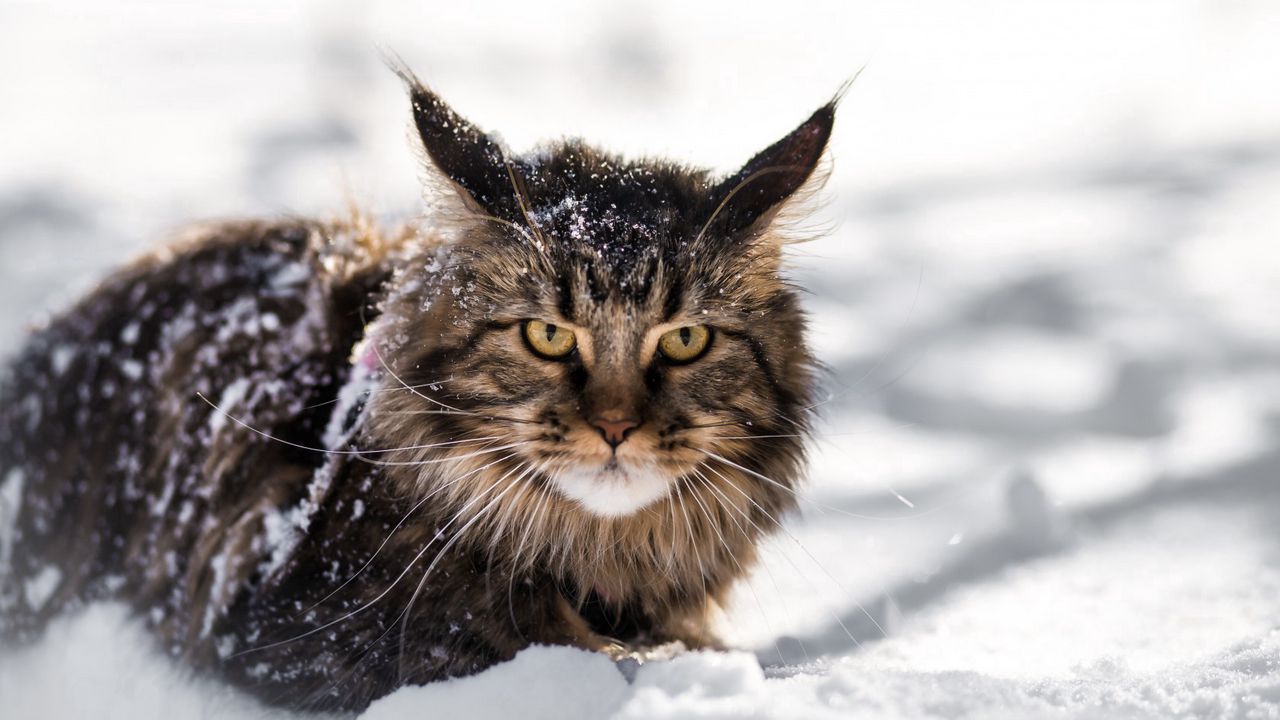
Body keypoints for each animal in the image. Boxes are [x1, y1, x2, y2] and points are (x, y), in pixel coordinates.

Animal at [0, 65, 834, 707]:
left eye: (686, 340)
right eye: (547, 335)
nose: (616, 426)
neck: (594, 557)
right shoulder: (299, 622)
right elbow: (554, 650)